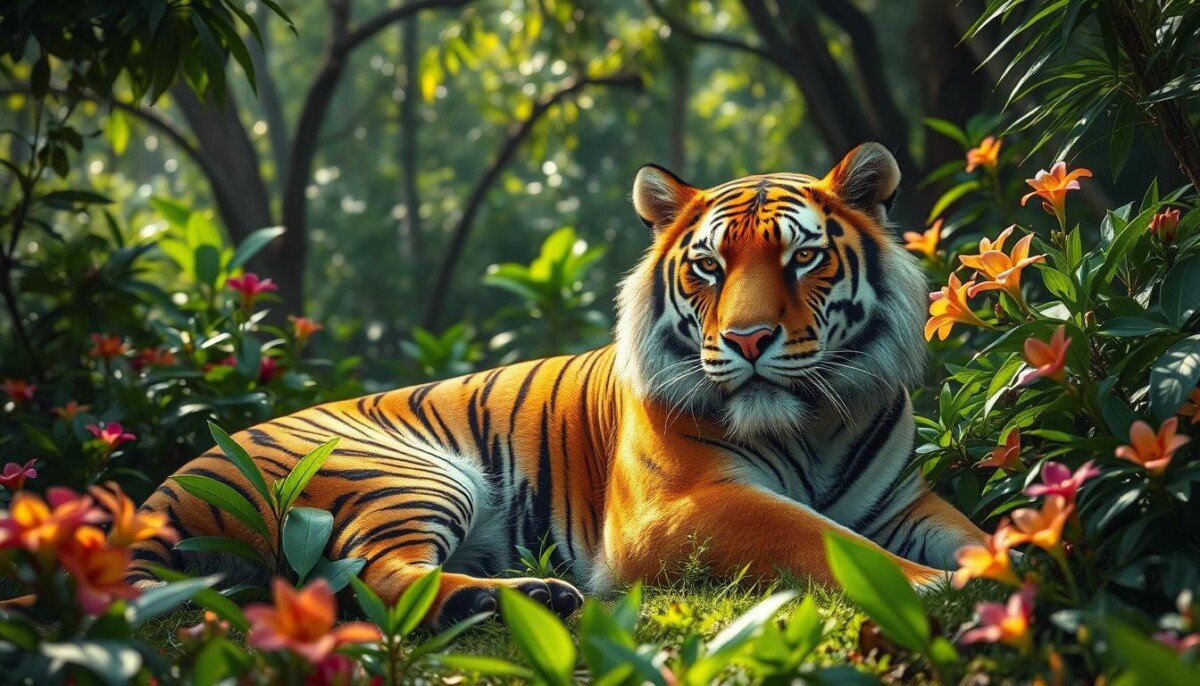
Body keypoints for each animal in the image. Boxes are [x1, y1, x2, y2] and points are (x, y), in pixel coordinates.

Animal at [129, 143, 986, 628]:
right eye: (709, 267)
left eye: (802, 258)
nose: (747, 341)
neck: (811, 424)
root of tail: (158, 494)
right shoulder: (678, 510)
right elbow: (817, 536)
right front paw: (937, 588)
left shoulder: (902, 504)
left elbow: (968, 531)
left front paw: (1003, 557)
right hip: (405, 472)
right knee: (367, 581)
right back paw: (527, 599)